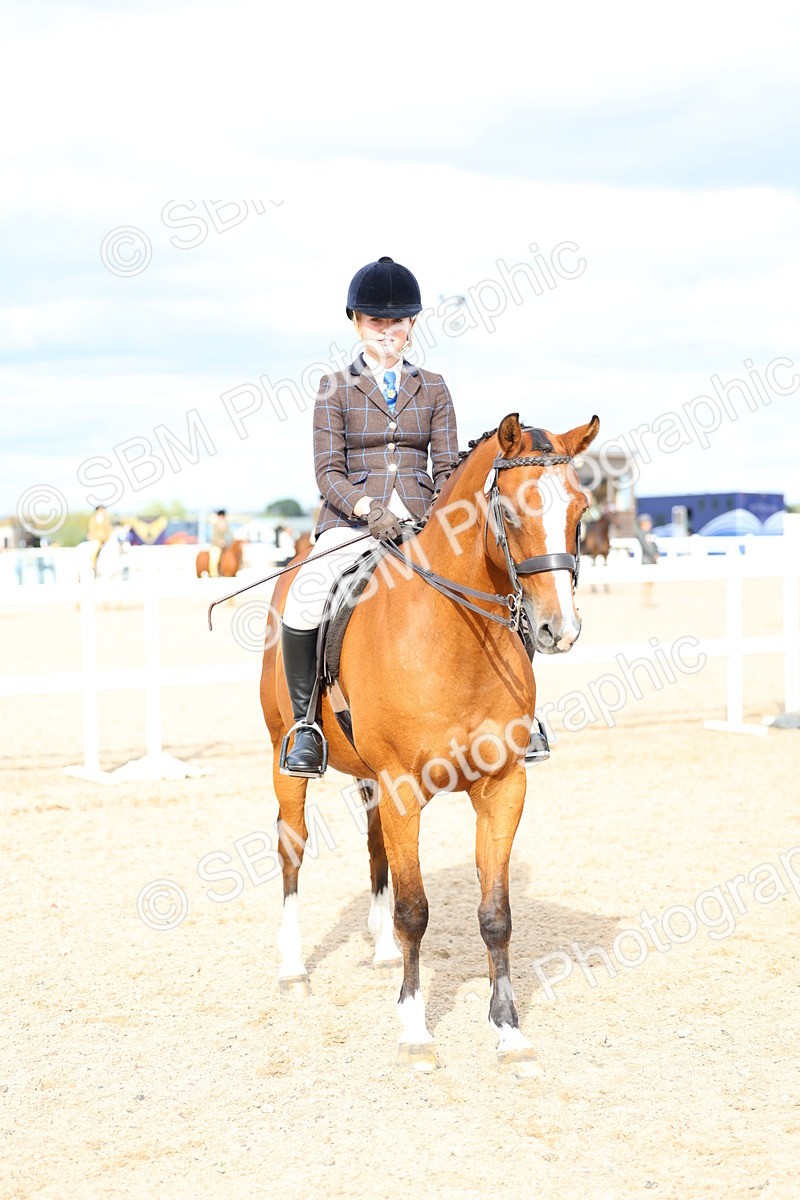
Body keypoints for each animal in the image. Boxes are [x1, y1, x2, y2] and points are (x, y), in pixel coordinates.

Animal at [260, 413, 599, 1075]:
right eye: (510, 512)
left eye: (580, 509)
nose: (559, 630)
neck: (454, 639)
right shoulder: (402, 788)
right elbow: (415, 910)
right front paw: (415, 1031)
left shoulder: (503, 787)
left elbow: (496, 914)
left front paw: (509, 1032)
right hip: (286, 760)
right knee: (293, 850)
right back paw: (291, 970)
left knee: (376, 850)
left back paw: (383, 952)